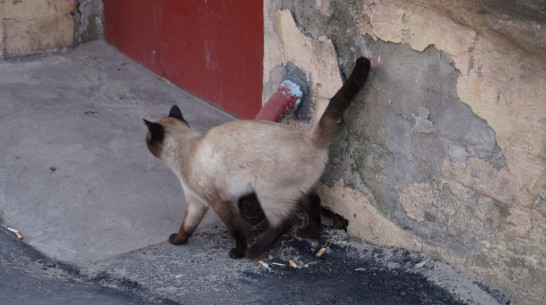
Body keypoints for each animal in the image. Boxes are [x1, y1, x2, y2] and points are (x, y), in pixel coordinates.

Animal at [143, 55, 370, 258]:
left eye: (147, 138)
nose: (144, 141)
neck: (185, 150)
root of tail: (311, 137)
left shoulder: (220, 201)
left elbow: (236, 230)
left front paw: (237, 252)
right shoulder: (196, 201)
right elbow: (187, 226)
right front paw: (177, 241)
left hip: (266, 191)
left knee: (283, 224)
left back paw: (253, 252)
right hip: (296, 189)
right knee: (314, 201)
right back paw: (310, 232)